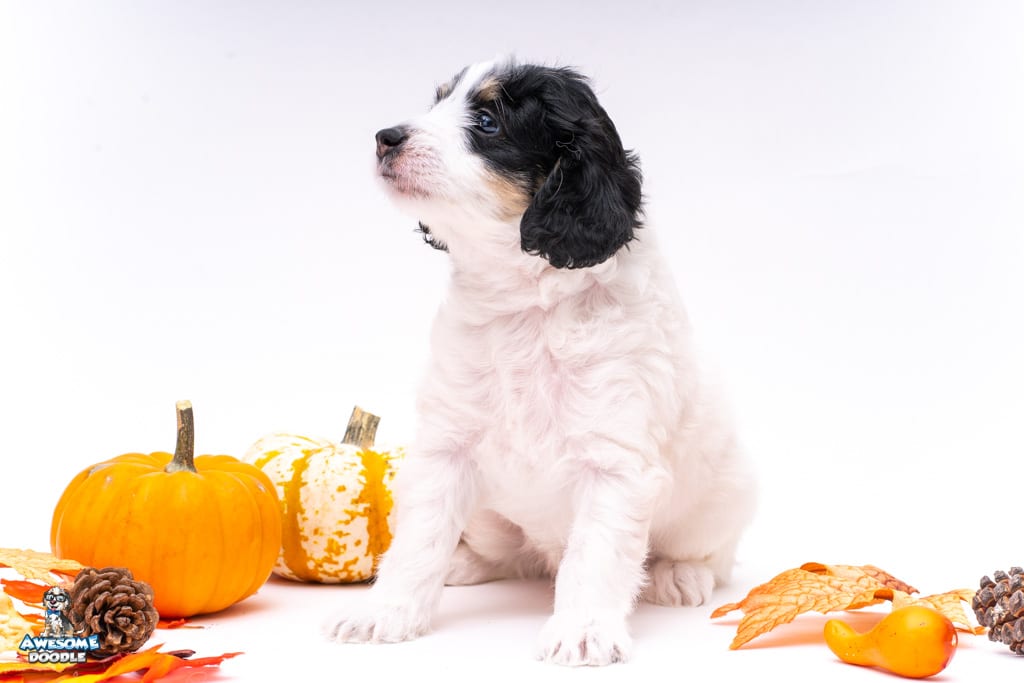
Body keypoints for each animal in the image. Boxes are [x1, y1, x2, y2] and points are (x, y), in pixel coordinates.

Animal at [323, 58, 757, 667]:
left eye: (487, 121)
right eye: (437, 103)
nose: (386, 138)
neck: (526, 305)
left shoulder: (614, 464)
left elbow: (595, 555)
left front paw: (581, 629)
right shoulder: (445, 447)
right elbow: (419, 539)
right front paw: (386, 611)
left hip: (722, 500)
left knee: (711, 558)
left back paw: (679, 576)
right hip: (492, 520)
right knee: (510, 555)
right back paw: (466, 563)